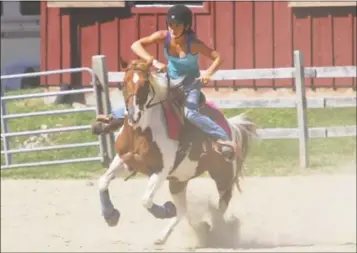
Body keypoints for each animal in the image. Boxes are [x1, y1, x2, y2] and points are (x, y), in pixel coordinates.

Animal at [96, 59, 256, 245]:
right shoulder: (125, 161)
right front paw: (110, 215)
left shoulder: (160, 170)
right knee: (183, 210)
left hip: (222, 176)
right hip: (178, 181)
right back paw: (174, 234)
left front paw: (166, 210)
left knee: (222, 203)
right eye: (123, 83)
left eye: (145, 84)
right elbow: (103, 181)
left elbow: (146, 200)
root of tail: (230, 126)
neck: (141, 132)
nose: (134, 114)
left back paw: (215, 230)